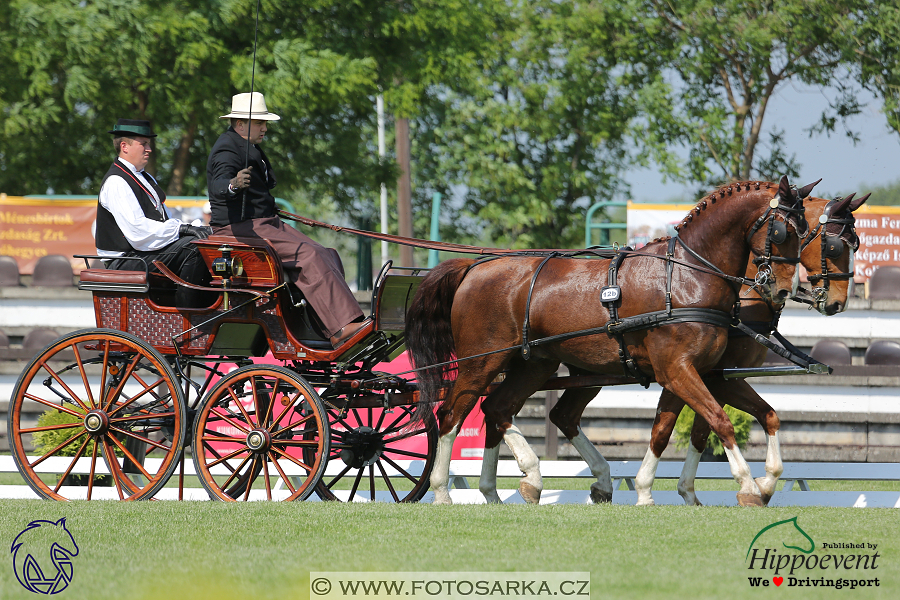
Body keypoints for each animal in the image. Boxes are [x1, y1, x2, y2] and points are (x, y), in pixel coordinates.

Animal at [408, 175, 808, 506]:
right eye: (782, 232)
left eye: (805, 232)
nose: (784, 289)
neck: (685, 277)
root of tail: (474, 267)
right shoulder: (677, 370)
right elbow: (719, 423)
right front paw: (749, 486)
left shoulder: (704, 374)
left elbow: (734, 420)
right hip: (481, 361)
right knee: (452, 414)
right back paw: (443, 490)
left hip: (534, 365)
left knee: (500, 409)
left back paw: (508, 487)